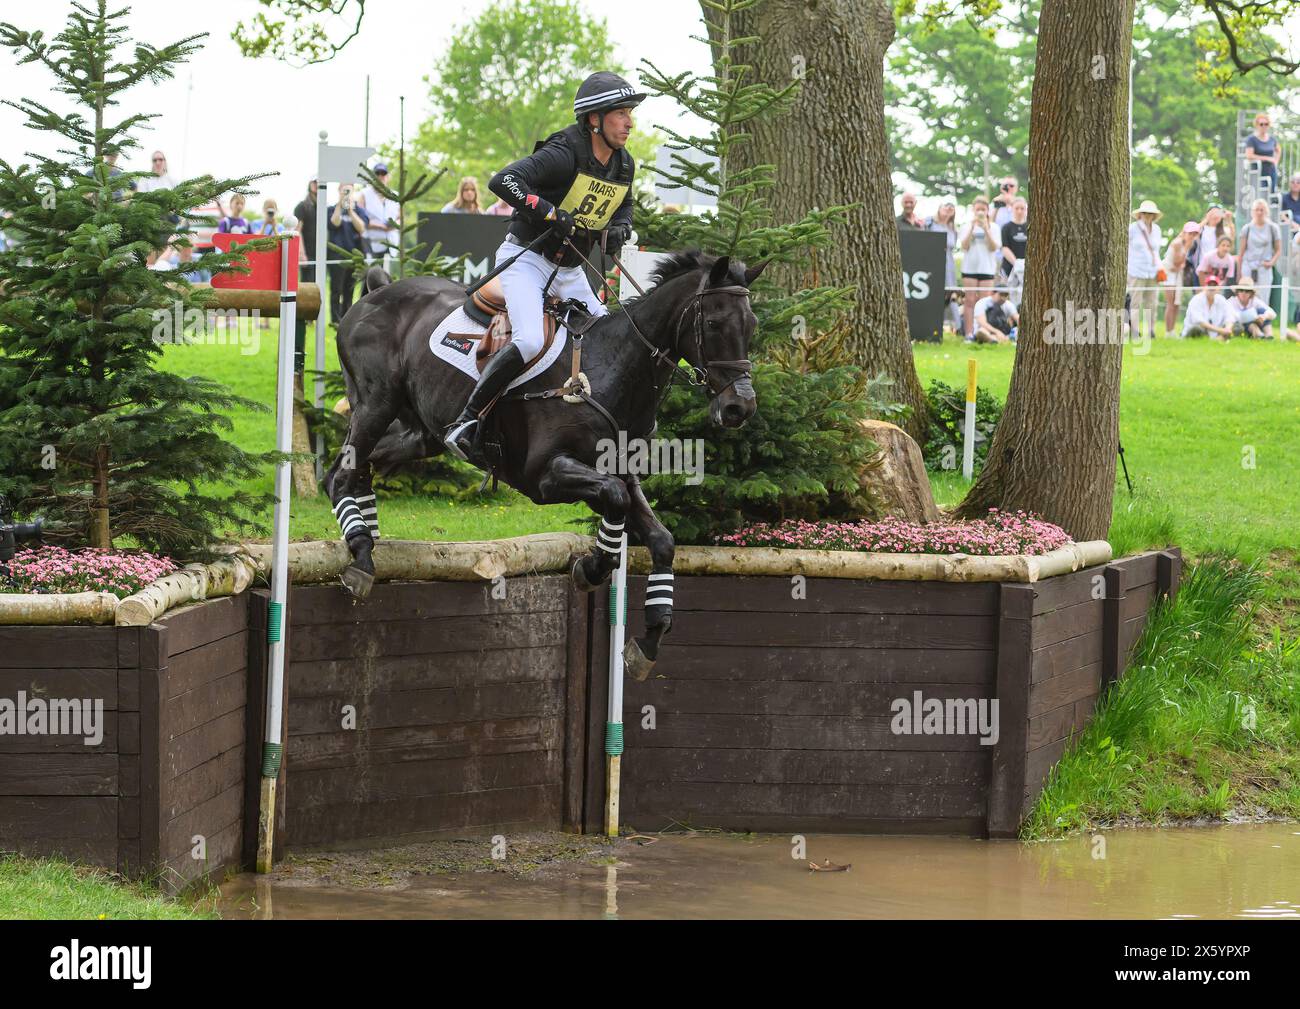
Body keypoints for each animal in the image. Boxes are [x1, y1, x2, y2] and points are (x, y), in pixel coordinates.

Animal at [325, 249, 764, 676]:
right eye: (714, 323)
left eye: (753, 325)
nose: (739, 407)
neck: (612, 369)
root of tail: (376, 292)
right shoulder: (546, 476)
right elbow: (615, 498)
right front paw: (592, 568)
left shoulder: (621, 473)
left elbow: (661, 539)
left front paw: (650, 638)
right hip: (375, 405)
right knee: (341, 476)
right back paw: (361, 553)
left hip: (419, 434)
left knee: (359, 469)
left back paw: (368, 538)